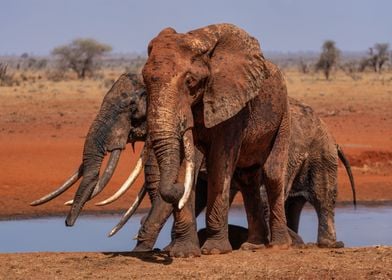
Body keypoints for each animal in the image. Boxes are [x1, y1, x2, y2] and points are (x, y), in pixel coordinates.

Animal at [142, 23, 292, 255]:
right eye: (144, 80)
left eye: (190, 81)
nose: (176, 191)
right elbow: (186, 161)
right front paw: (184, 253)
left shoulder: (234, 104)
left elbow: (220, 162)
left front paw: (214, 251)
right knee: (247, 179)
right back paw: (252, 246)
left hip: (283, 114)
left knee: (272, 173)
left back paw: (278, 246)